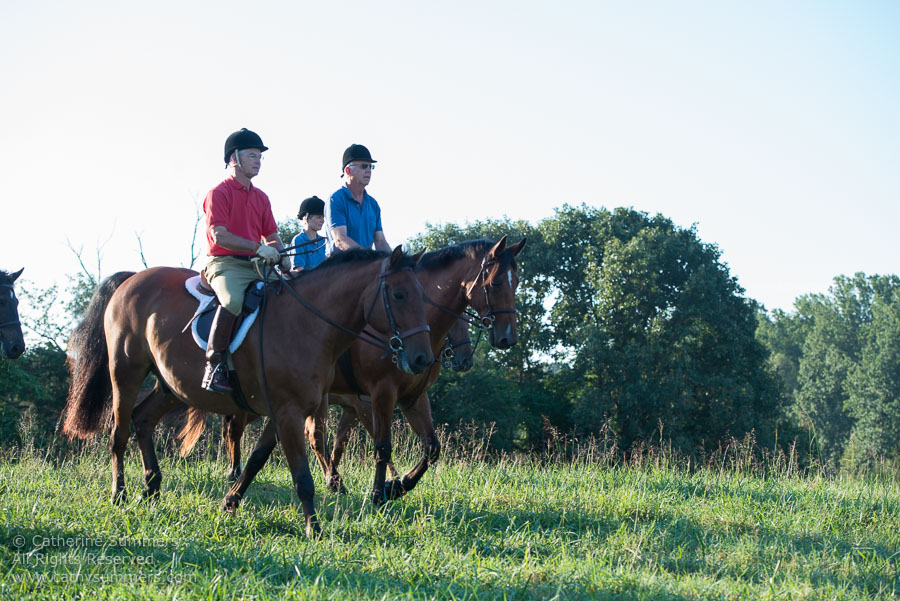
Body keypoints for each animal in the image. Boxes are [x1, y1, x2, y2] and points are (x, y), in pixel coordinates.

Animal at [59, 246, 432, 536]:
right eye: (399, 295)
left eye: (422, 295)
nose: (422, 358)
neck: (308, 323)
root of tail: (132, 279)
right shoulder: (288, 412)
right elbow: (302, 476)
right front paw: (313, 528)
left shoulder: (286, 411)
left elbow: (256, 460)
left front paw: (230, 502)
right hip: (125, 373)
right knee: (119, 433)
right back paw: (119, 494)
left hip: (169, 386)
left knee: (143, 420)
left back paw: (151, 486)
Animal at [176, 234, 524, 506]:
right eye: (494, 283)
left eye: (517, 282)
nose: (507, 337)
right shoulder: (378, 395)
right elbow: (381, 445)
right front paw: (381, 491)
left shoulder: (409, 398)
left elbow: (430, 447)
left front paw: (397, 485)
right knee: (237, 427)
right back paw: (234, 472)